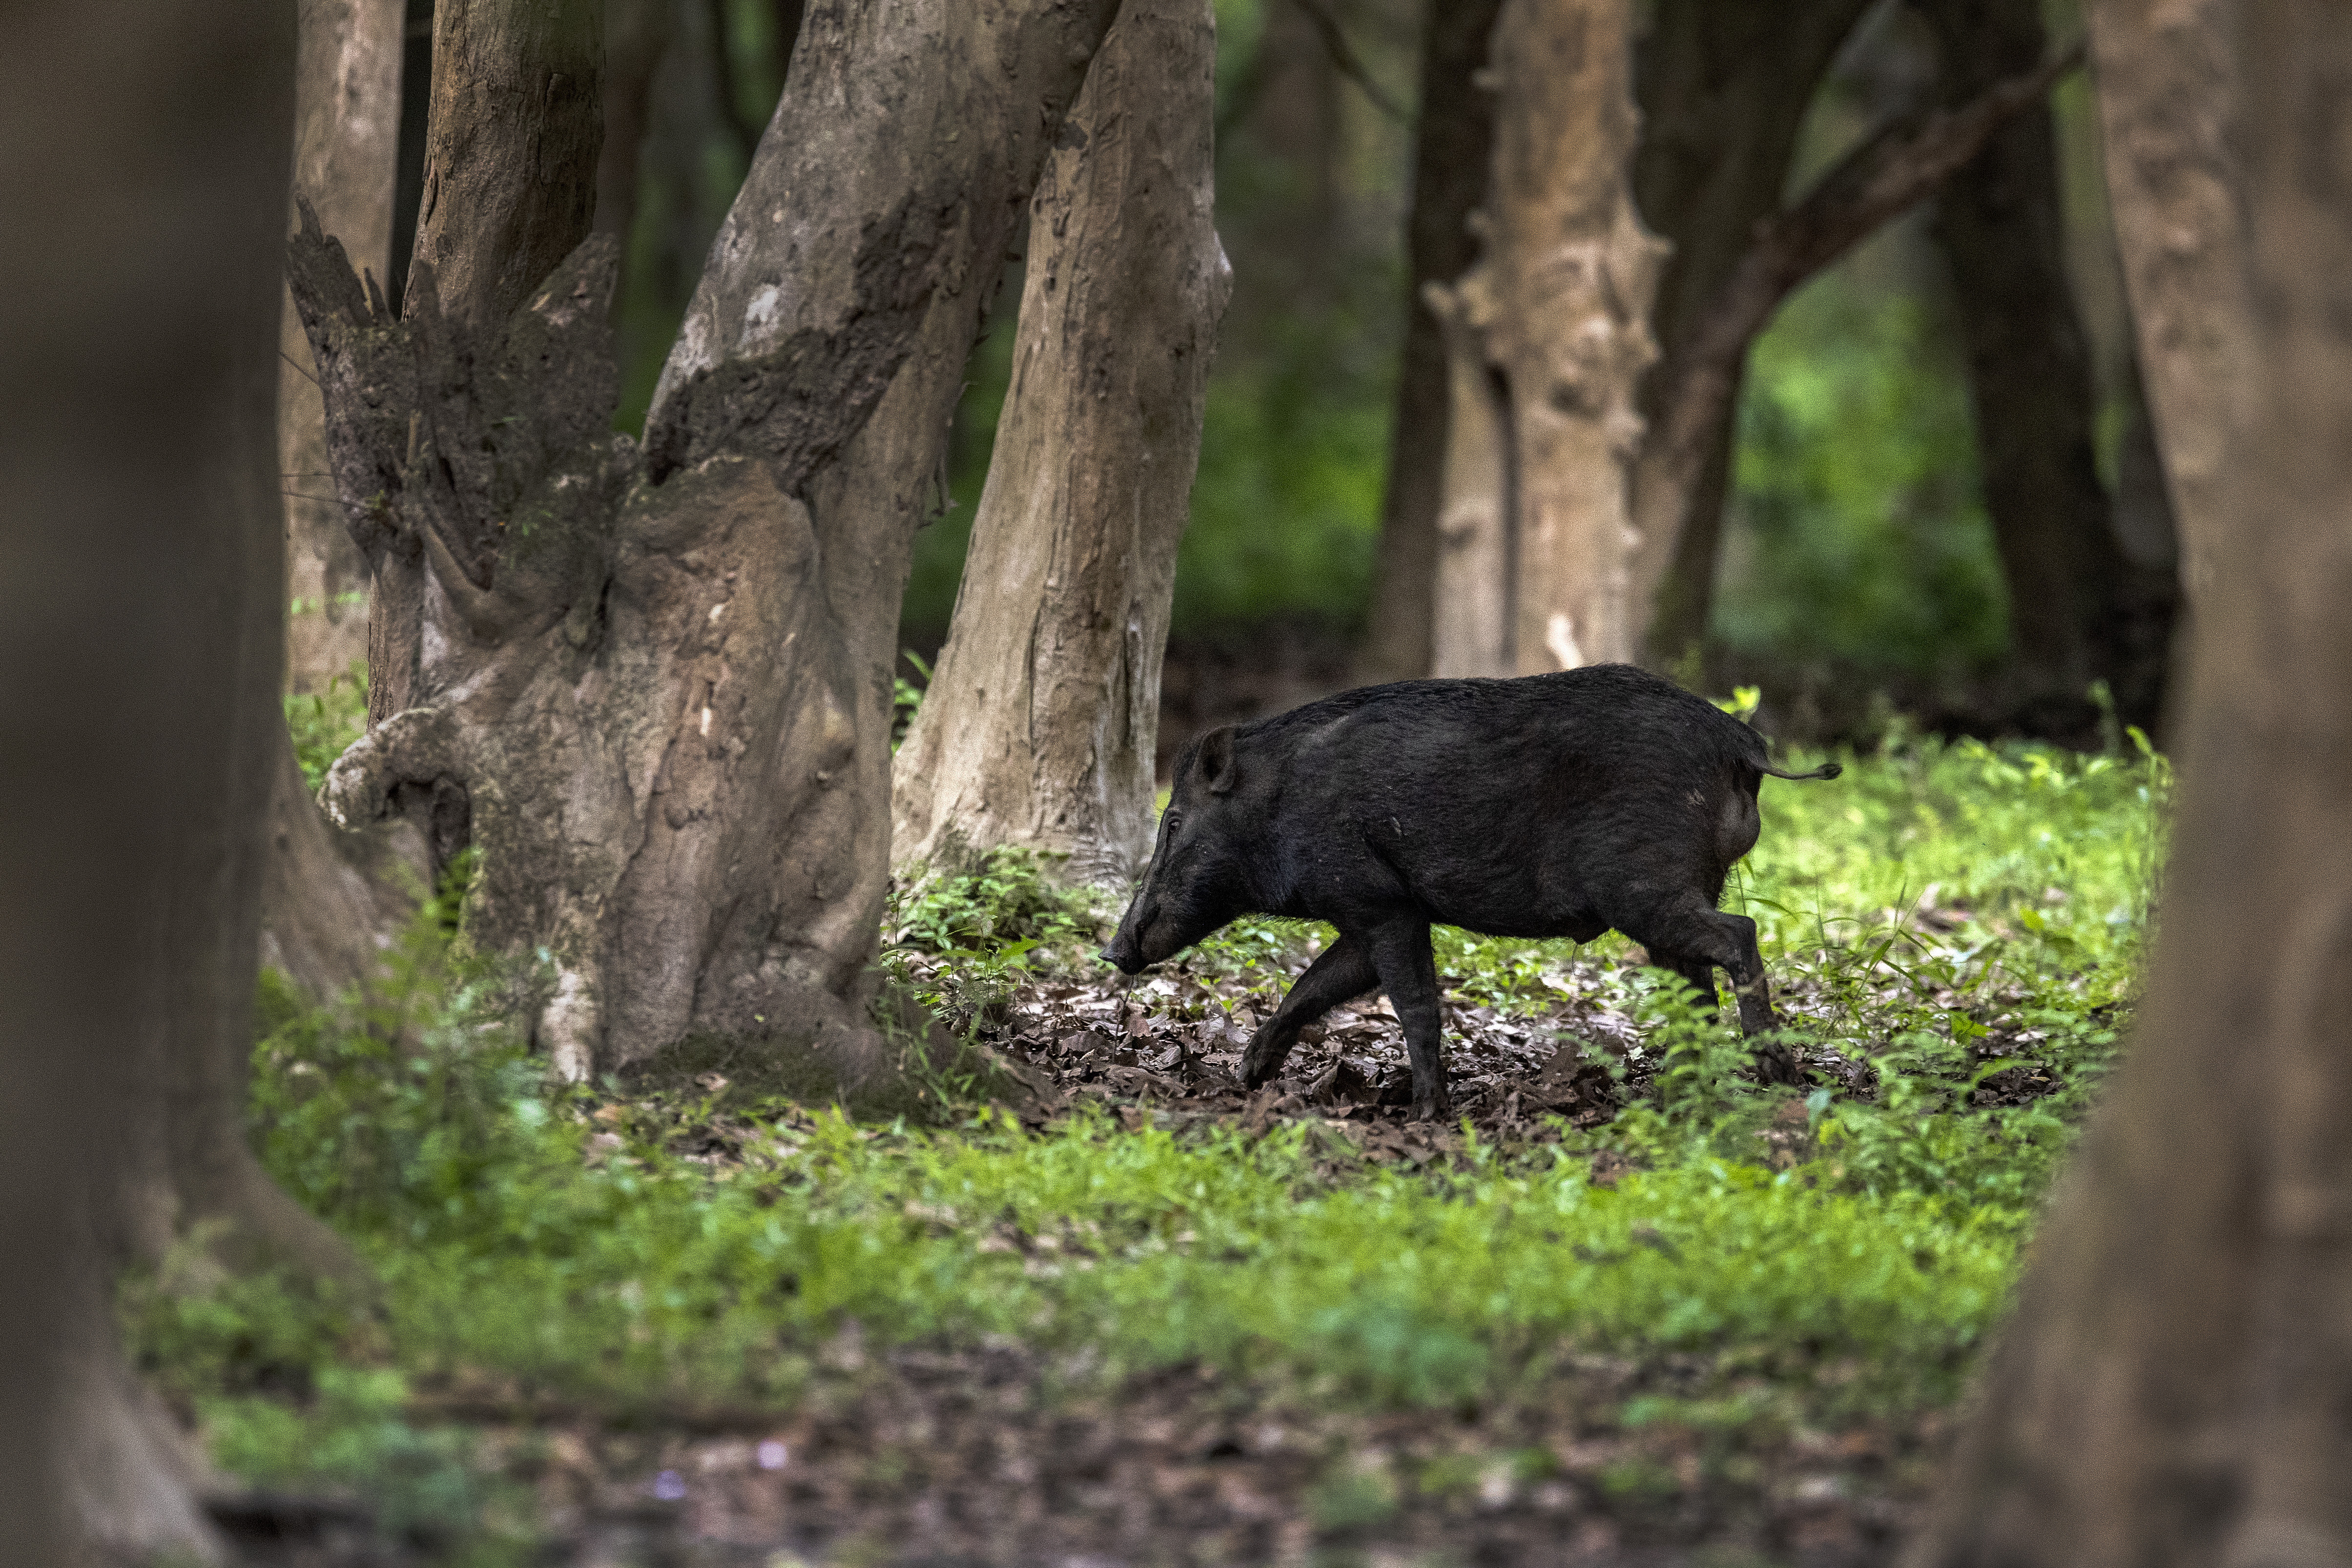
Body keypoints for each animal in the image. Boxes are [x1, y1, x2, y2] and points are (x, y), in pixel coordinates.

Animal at [1100, 663, 1840, 1119]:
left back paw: (1772, 1071)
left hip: (1643, 887)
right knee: (1694, 983)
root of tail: (1744, 744)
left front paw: (1427, 1112)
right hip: (1679, 888)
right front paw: (1247, 1075)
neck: (1274, 806)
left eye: (1172, 822)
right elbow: (1312, 986)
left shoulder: (1379, 902)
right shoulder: (1372, 909)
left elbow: (1412, 1004)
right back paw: (1692, 1085)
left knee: (1739, 935)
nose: (1112, 951)